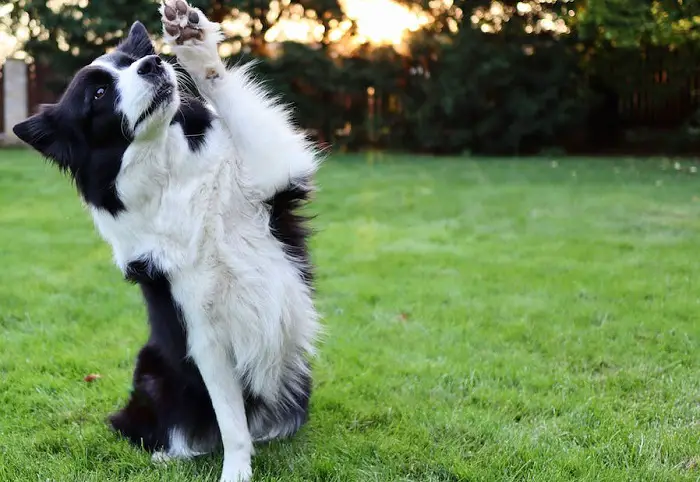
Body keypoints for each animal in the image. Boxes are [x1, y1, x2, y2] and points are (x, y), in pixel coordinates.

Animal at [12, 1, 322, 480]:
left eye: (130, 62)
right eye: (98, 94)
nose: (154, 63)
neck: (172, 174)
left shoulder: (272, 177)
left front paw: (194, 45)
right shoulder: (202, 332)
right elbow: (231, 422)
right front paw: (236, 471)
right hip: (151, 368)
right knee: (167, 428)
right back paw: (168, 453)